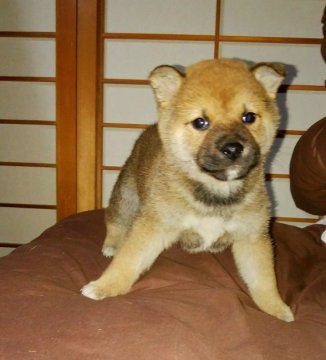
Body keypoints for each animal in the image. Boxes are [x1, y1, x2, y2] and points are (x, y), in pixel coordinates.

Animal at [81, 58, 292, 320]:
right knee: (115, 222)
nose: (233, 148)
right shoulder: (153, 226)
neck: (215, 190)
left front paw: (276, 308)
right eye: (200, 122)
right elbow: (127, 260)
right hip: (126, 196)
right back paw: (111, 244)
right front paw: (103, 286)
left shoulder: (252, 237)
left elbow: (264, 279)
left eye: (249, 117)